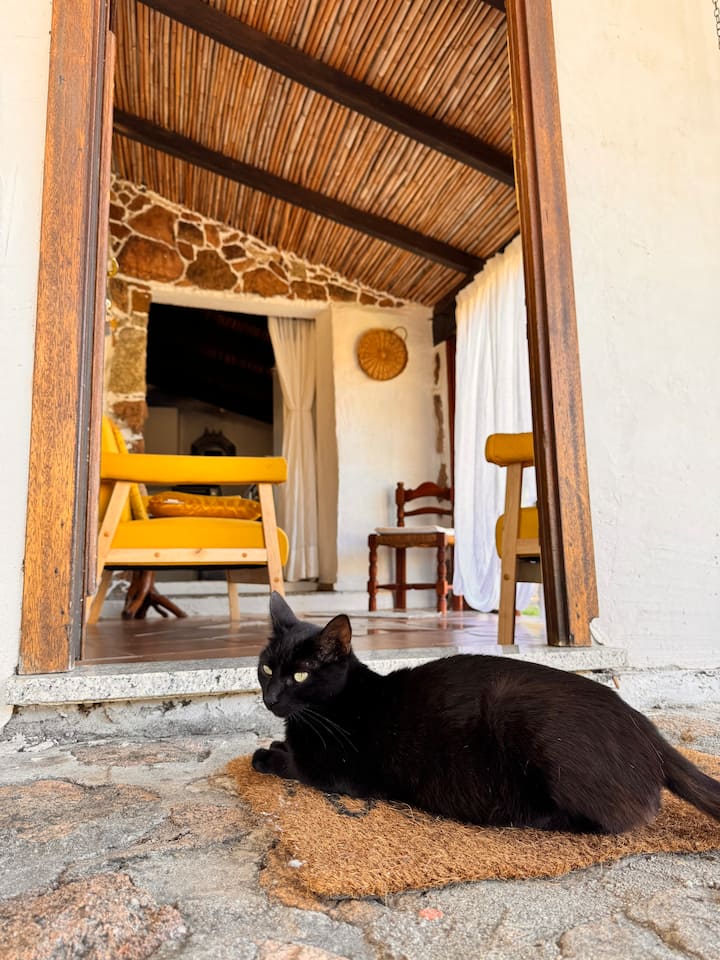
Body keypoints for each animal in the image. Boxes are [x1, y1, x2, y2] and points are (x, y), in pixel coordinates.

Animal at [252, 593, 720, 834]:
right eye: (266, 668)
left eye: (300, 674)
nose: (271, 698)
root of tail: (646, 726)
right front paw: (276, 742)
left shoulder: (343, 775)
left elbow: (295, 766)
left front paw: (267, 754)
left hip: (520, 714)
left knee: (612, 819)